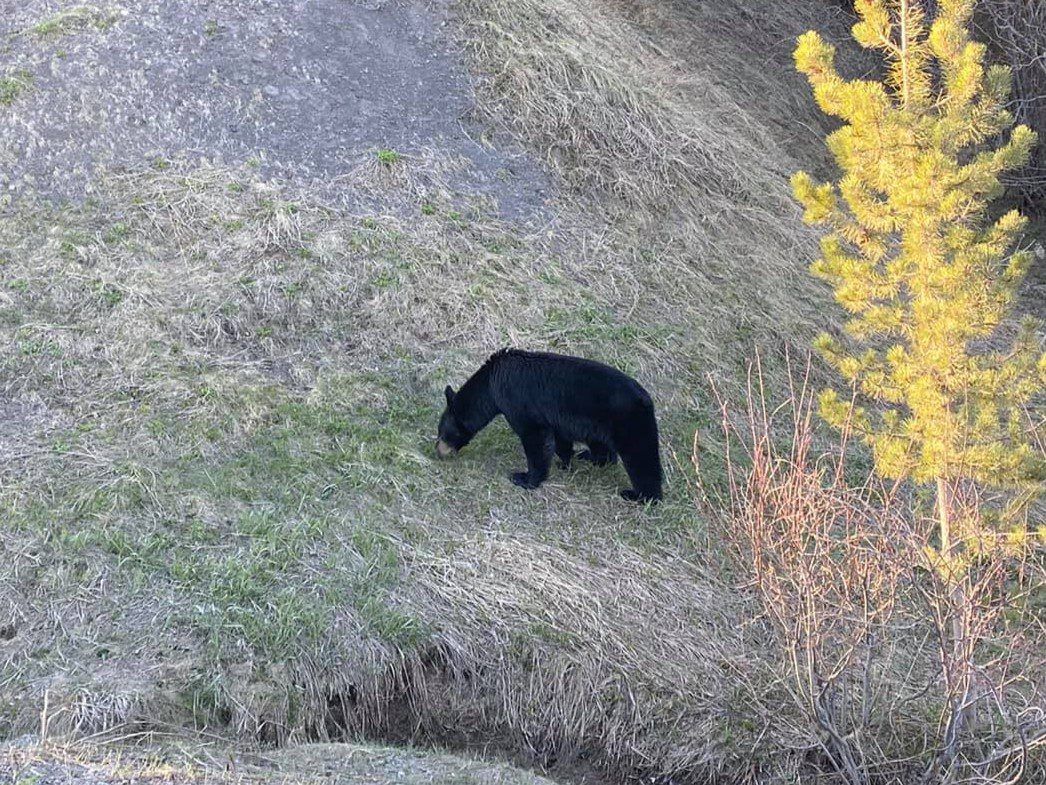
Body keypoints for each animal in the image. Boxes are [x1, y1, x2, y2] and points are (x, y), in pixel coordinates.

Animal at [433, 349, 661, 504]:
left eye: (442, 432)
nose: (437, 451)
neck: (491, 384)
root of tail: (646, 399)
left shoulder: (518, 400)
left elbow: (535, 437)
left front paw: (525, 478)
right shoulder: (555, 417)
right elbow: (560, 439)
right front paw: (564, 462)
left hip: (629, 423)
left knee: (641, 458)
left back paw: (640, 496)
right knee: (602, 447)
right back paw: (589, 457)